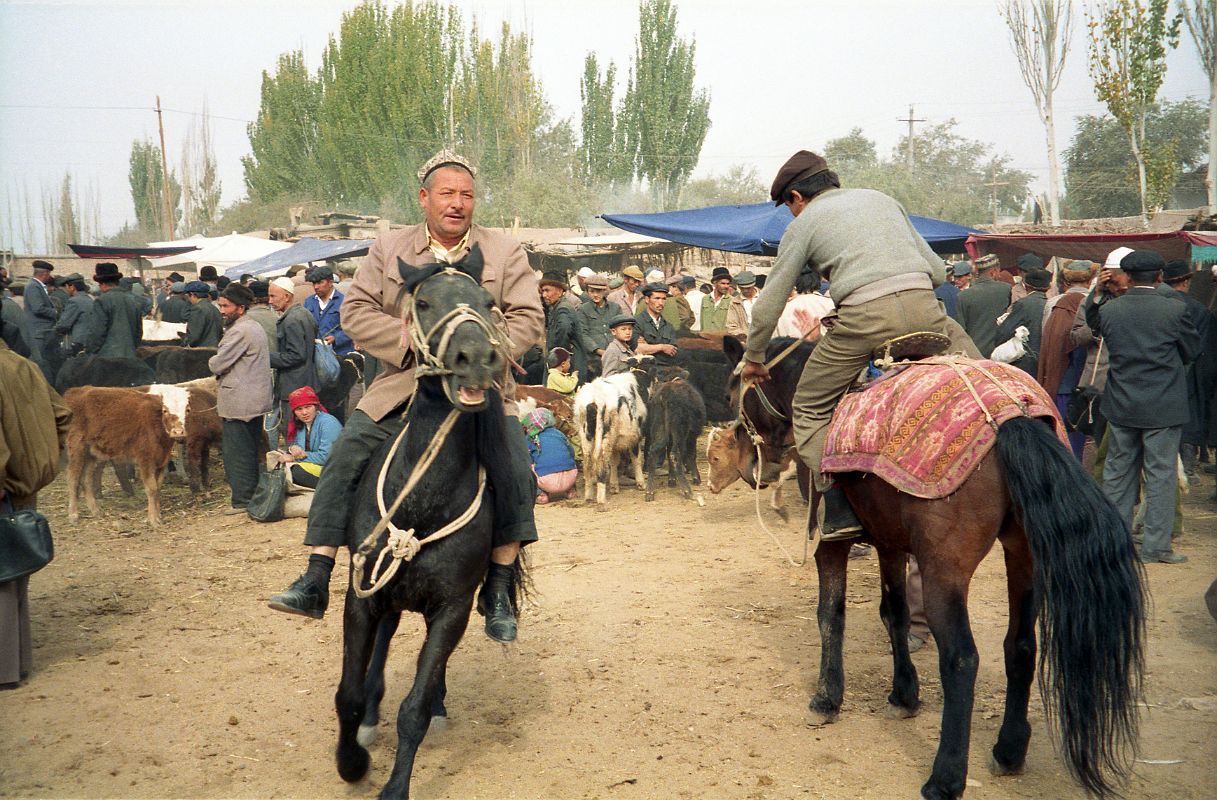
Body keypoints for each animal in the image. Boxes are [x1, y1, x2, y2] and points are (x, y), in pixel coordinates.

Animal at [333, 245, 523, 793]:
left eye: (487, 302)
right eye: (422, 303)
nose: (476, 360)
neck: (422, 501)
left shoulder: (452, 609)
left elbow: (413, 709)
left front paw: (395, 786)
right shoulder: (361, 597)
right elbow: (348, 694)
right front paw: (352, 762)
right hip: (387, 594)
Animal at [720, 336, 1148, 798]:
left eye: (730, 393)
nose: (749, 469)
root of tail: (1015, 418)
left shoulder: (831, 543)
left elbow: (830, 614)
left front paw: (827, 698)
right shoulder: (890, 542)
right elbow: (894, 614)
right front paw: (904, 695)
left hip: (946, 571)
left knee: (961, 659)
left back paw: (946, 777)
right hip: (1024, 558)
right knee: (1020, 646)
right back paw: (1008, 750)